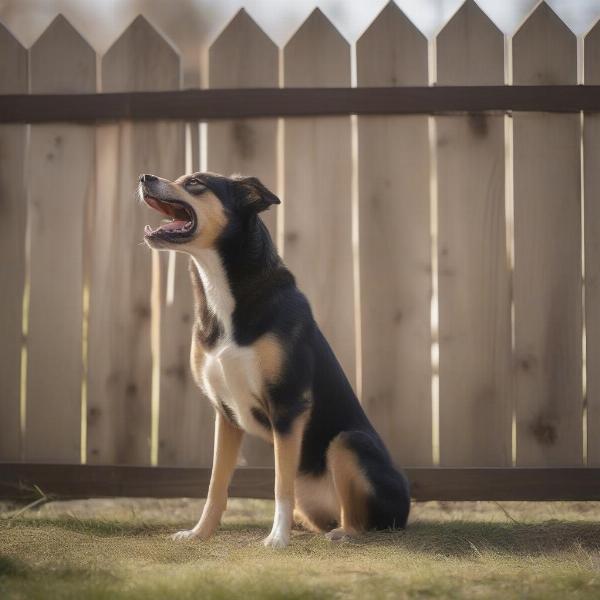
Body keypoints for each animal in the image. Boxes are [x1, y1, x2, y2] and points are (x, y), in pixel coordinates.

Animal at [141, 171, 412, 548]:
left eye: (195, 183)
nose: (144, 177)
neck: (224, 291)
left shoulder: (288, 405)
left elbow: (280, 485)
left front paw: (276, 538)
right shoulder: (225, 415)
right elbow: (215, 485)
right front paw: (199, 533)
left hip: (349, 442)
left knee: (361, 520)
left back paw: (342, 533)